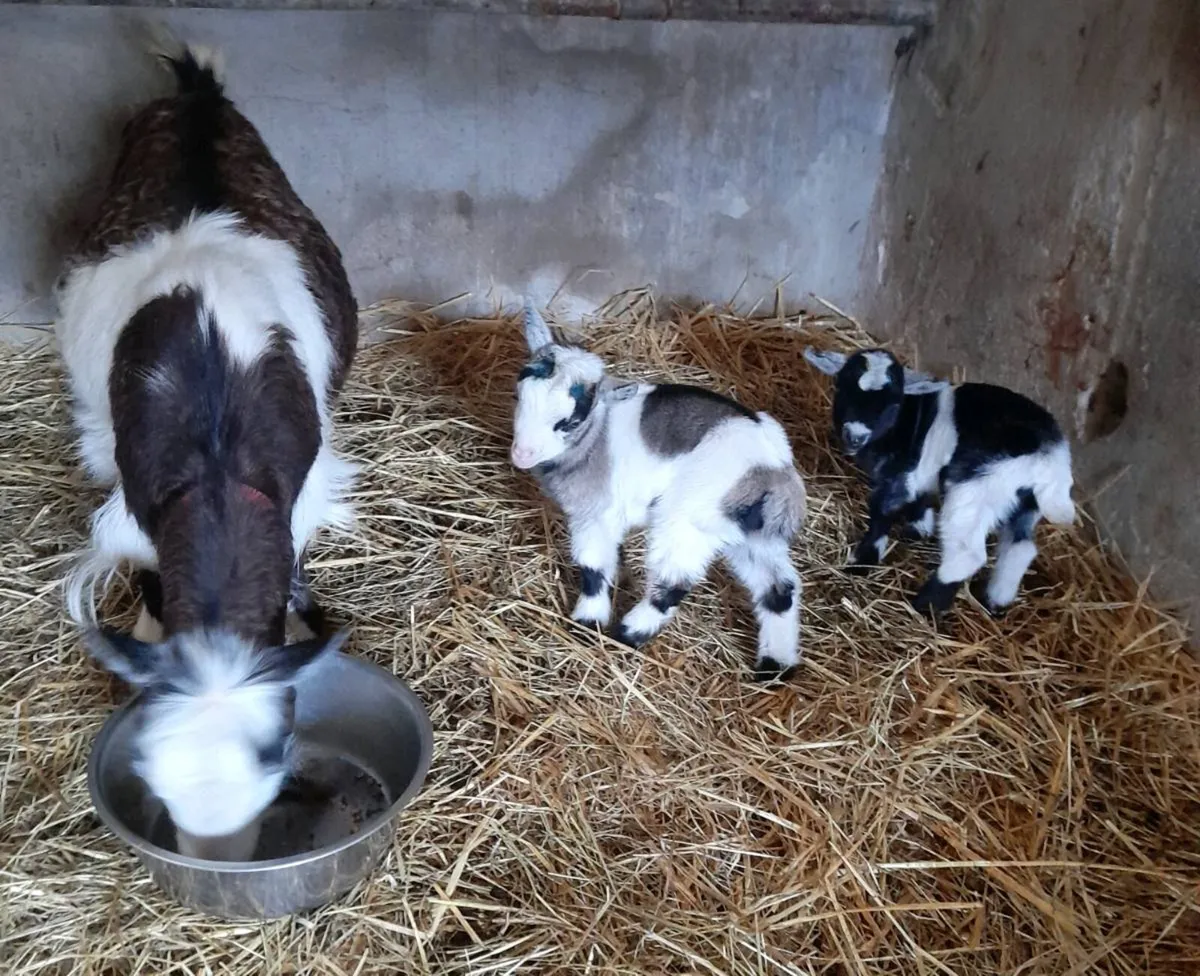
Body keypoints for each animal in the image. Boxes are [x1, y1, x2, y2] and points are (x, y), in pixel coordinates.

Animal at [56, 40, 357, 859]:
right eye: (158, 785)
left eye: (275, 764)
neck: (219, 477)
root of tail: (193, 96)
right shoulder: (132, 498)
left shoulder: (302, 498)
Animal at [512, 303, 808, 681]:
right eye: (518, 396)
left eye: (570, 421)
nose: (521, 454)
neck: (594, 438)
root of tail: (774, 468)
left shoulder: (595, 512)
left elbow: (594, 567)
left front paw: (587, 622)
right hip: (750, 533)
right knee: (779, 588)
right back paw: (775, 666)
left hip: (688, 520)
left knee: (670, 585)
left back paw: (626, 635)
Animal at [804, 347, 1075, 617]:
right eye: (841, 386)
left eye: (893, 403)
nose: (855, 436)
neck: (909, 421)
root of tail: (1049, 456)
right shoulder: (920, 475)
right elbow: (918, 500)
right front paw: (919, 529)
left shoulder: (901, 475)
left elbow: (883, 511)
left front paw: (861, 561)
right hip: (1025, 504)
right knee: (1020, 548)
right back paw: (994, 601)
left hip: (977, 489)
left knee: (968, 552)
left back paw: (926, 606)